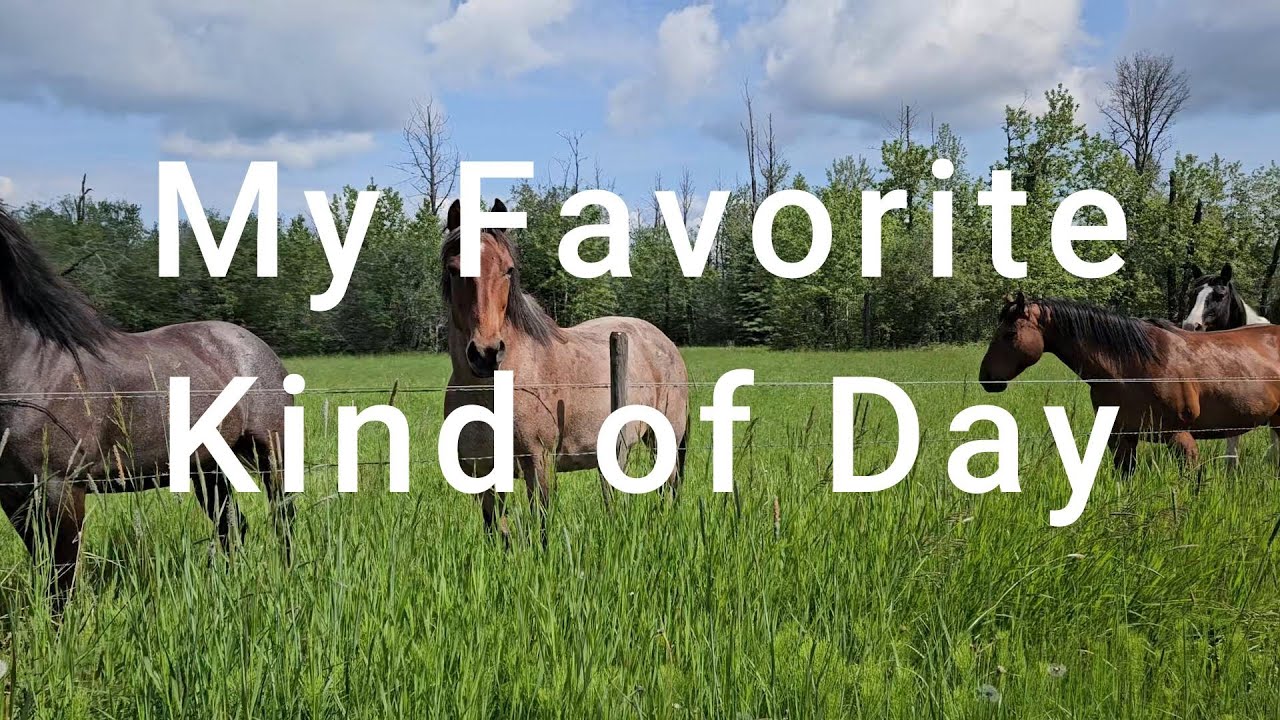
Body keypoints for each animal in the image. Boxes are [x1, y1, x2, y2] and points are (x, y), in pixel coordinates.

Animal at [0, 207, 292, 612]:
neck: (30, 366)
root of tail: (252, 343)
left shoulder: (61, 489)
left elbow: (63, 580)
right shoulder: (12, 494)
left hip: (271, 455)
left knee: (281, 520)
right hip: (209, 468)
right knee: (231, 527)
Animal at [440, 199, 689, 544]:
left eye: (508, 269)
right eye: (454, 270)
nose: (486, 354)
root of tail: (665, 343)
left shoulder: (539, 463)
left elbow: (542, 526)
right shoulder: (482, 472)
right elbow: (496, 533)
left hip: (664, 441)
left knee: (670, 488)